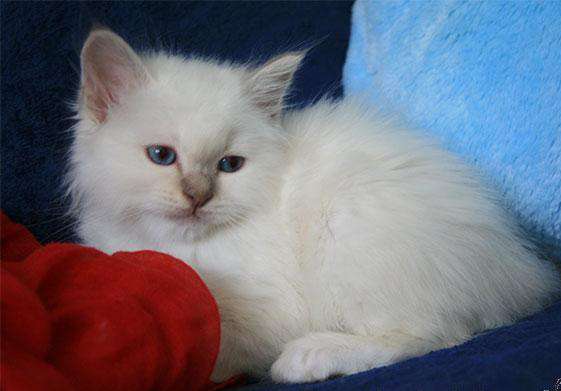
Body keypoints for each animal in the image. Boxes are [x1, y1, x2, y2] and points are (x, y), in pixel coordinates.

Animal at [68, 29, 556, 384]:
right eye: (162, 156)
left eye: (229, 165)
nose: (197, 196)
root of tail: (522, 269)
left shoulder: (269, 310)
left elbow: (218, 343)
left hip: (349, 231)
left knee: (439, 335)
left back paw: (310, 357)